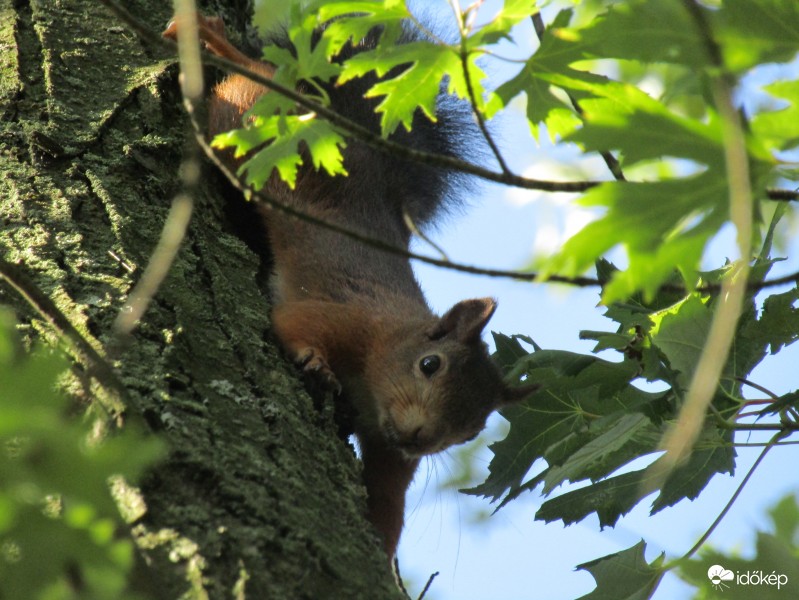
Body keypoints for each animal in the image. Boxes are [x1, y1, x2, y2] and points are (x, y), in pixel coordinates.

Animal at [162, 12, 536, 564]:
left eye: (473, 428)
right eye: (430, 365)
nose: (419, 437)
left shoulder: (387, 449)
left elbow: (387, 501)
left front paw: (382, 551)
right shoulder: (350, 320)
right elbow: (292, 323)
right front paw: (314, 362)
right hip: (247, 123)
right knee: (250, 76)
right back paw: (211, 38)